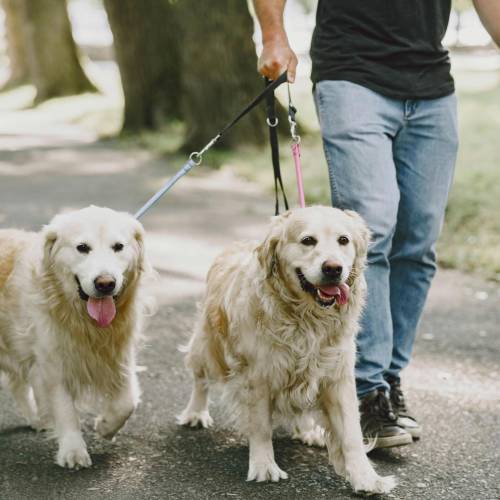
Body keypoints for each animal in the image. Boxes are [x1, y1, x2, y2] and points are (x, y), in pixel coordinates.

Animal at [0, 204, 148, 468]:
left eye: (118, 246)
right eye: (82, 248)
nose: (105, 283)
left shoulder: (120, 356)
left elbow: (127, 402)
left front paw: (106, 426)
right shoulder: (53, 364)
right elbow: (65, 409)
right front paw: (73, 450)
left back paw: (36, 418)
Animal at [179, 205, 394, 494]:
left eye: (344, 240)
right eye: (308, 240)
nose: (333, 268)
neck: (307, 319)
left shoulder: (337, 377)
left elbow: (351, 433)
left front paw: (366, 477)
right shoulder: (257, 376)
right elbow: (261, 427)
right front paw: (264, 466)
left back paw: (307, 430)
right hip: (208, 345)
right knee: (200, 378)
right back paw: (195, 413)